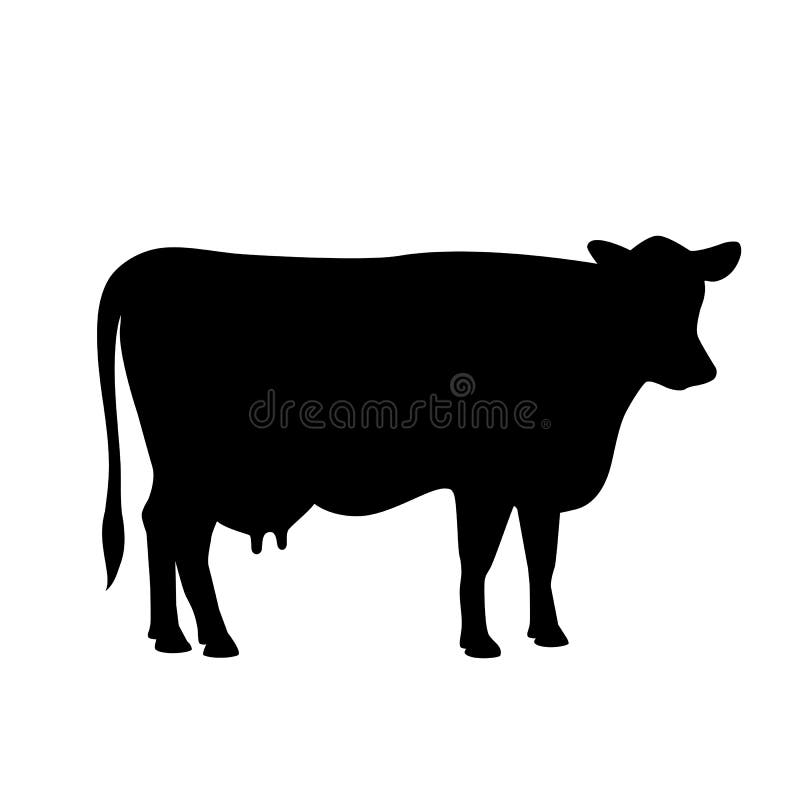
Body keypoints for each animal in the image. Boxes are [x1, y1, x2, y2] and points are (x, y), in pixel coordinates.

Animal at [98, 236, 739, 657]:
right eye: (638, 297)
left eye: (695, 297)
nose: (699, 369)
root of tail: (154, 261)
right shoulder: (482, 480)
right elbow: (477, 557)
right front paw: (480, 642)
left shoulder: (538, 484)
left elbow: (542, 556)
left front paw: (548, 633)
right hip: (197, 466)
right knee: (179, 532)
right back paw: (208, 639)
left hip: (186, 470)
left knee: (164, 527)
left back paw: (171, 634)